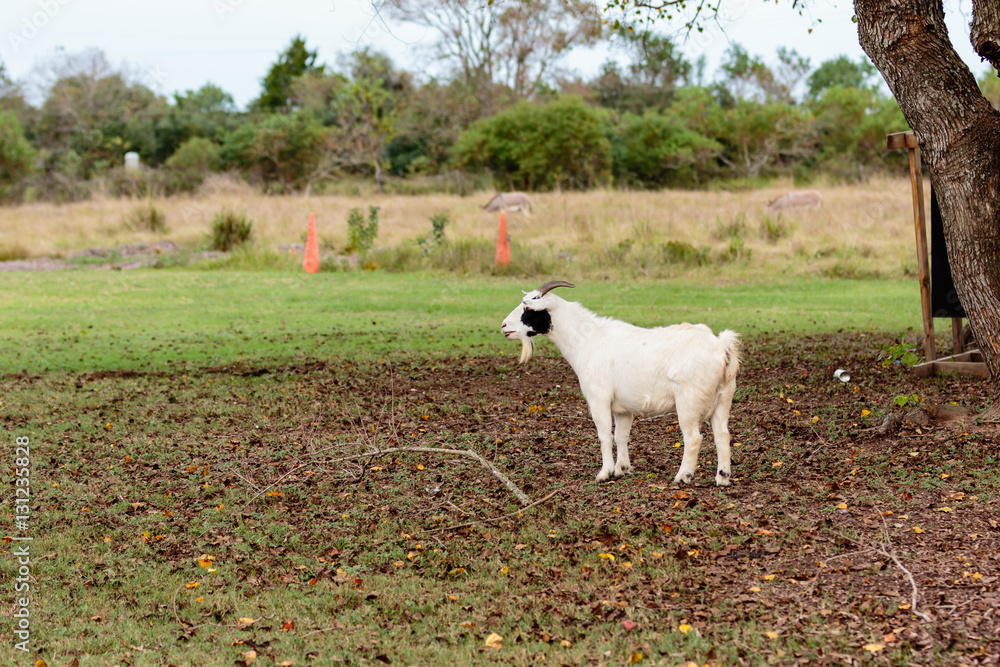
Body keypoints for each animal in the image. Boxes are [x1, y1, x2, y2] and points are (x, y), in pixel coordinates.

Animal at [501, 281, 741, 486]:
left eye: (528, 308)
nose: (504, 326)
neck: (588, 341)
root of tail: (721, 347)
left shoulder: (599, 400)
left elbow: (605, 436)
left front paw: (604, 473)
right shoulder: (623, 409)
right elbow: (621, 436)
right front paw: (621, 469)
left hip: (689, 402)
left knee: (693, 438)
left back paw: (683, 476)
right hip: (723, 399)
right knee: (723, 435)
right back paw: (722, 477)